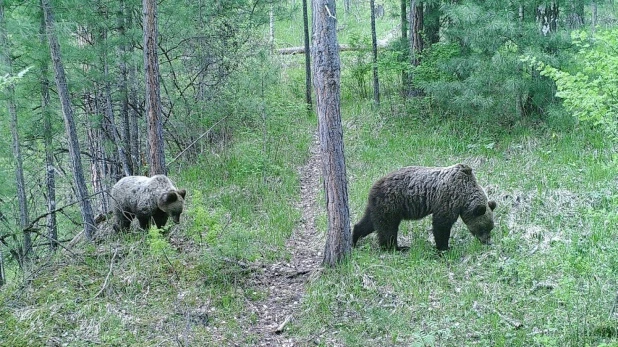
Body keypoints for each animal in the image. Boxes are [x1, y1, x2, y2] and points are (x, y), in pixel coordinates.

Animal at [352, 164, 496, 251]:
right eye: (482, 228)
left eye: (491, 227)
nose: (487, 241)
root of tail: (374, 187)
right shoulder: (448, 199)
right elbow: (441, 225)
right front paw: (444, 248)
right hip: (391, 204)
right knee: (387, 229)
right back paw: (397, 248)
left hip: (379, 207)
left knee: (369, 223)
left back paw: (354, 237)